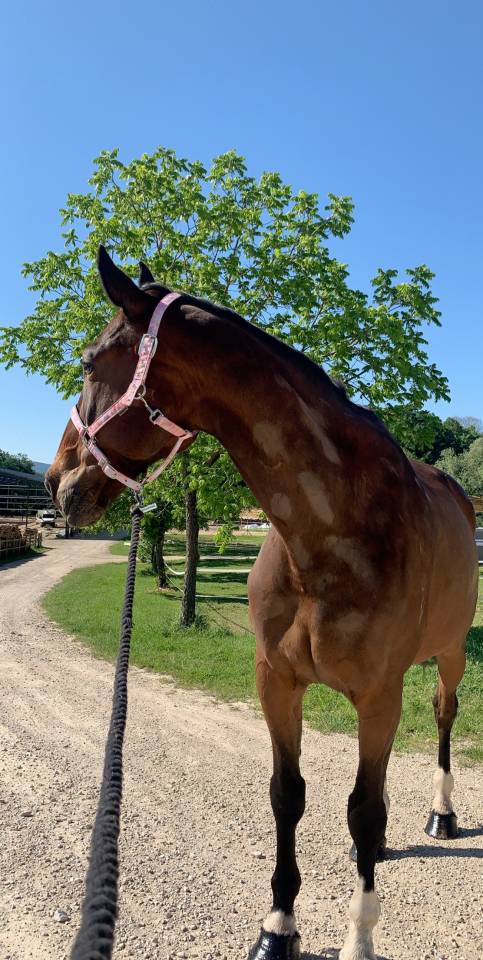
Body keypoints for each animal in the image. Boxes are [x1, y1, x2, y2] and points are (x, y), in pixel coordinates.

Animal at [46, 247, 478, 960]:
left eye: (87, 362)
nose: (58, 482)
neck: (330, 532)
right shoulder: (275, 680)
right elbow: (289, 796)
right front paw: (278, 926)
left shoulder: (380, 693)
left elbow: (362, 810)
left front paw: (359, 936)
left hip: (449, 652)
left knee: (443, 717)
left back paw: (441, 814)